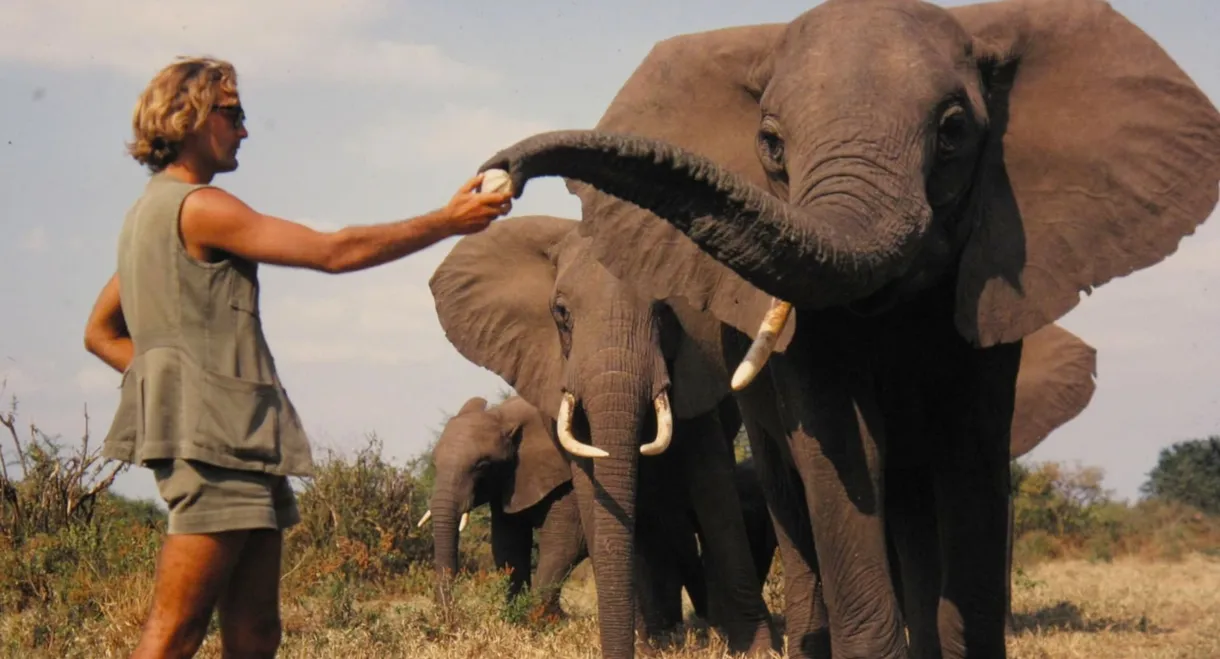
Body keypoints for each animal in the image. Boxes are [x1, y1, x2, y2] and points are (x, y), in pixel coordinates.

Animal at [430, 214, 781, 658]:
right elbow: (556, 514)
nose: (446, 628)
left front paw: (759, 649)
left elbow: (713, 488)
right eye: (561, 312)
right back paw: (663, 636)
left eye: (664, 310)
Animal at [475, 0, 1219, 656]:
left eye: (953, 132)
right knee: (793, 494)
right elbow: (841, 445)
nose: (498, 173)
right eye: (771, 144)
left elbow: (971, 445)